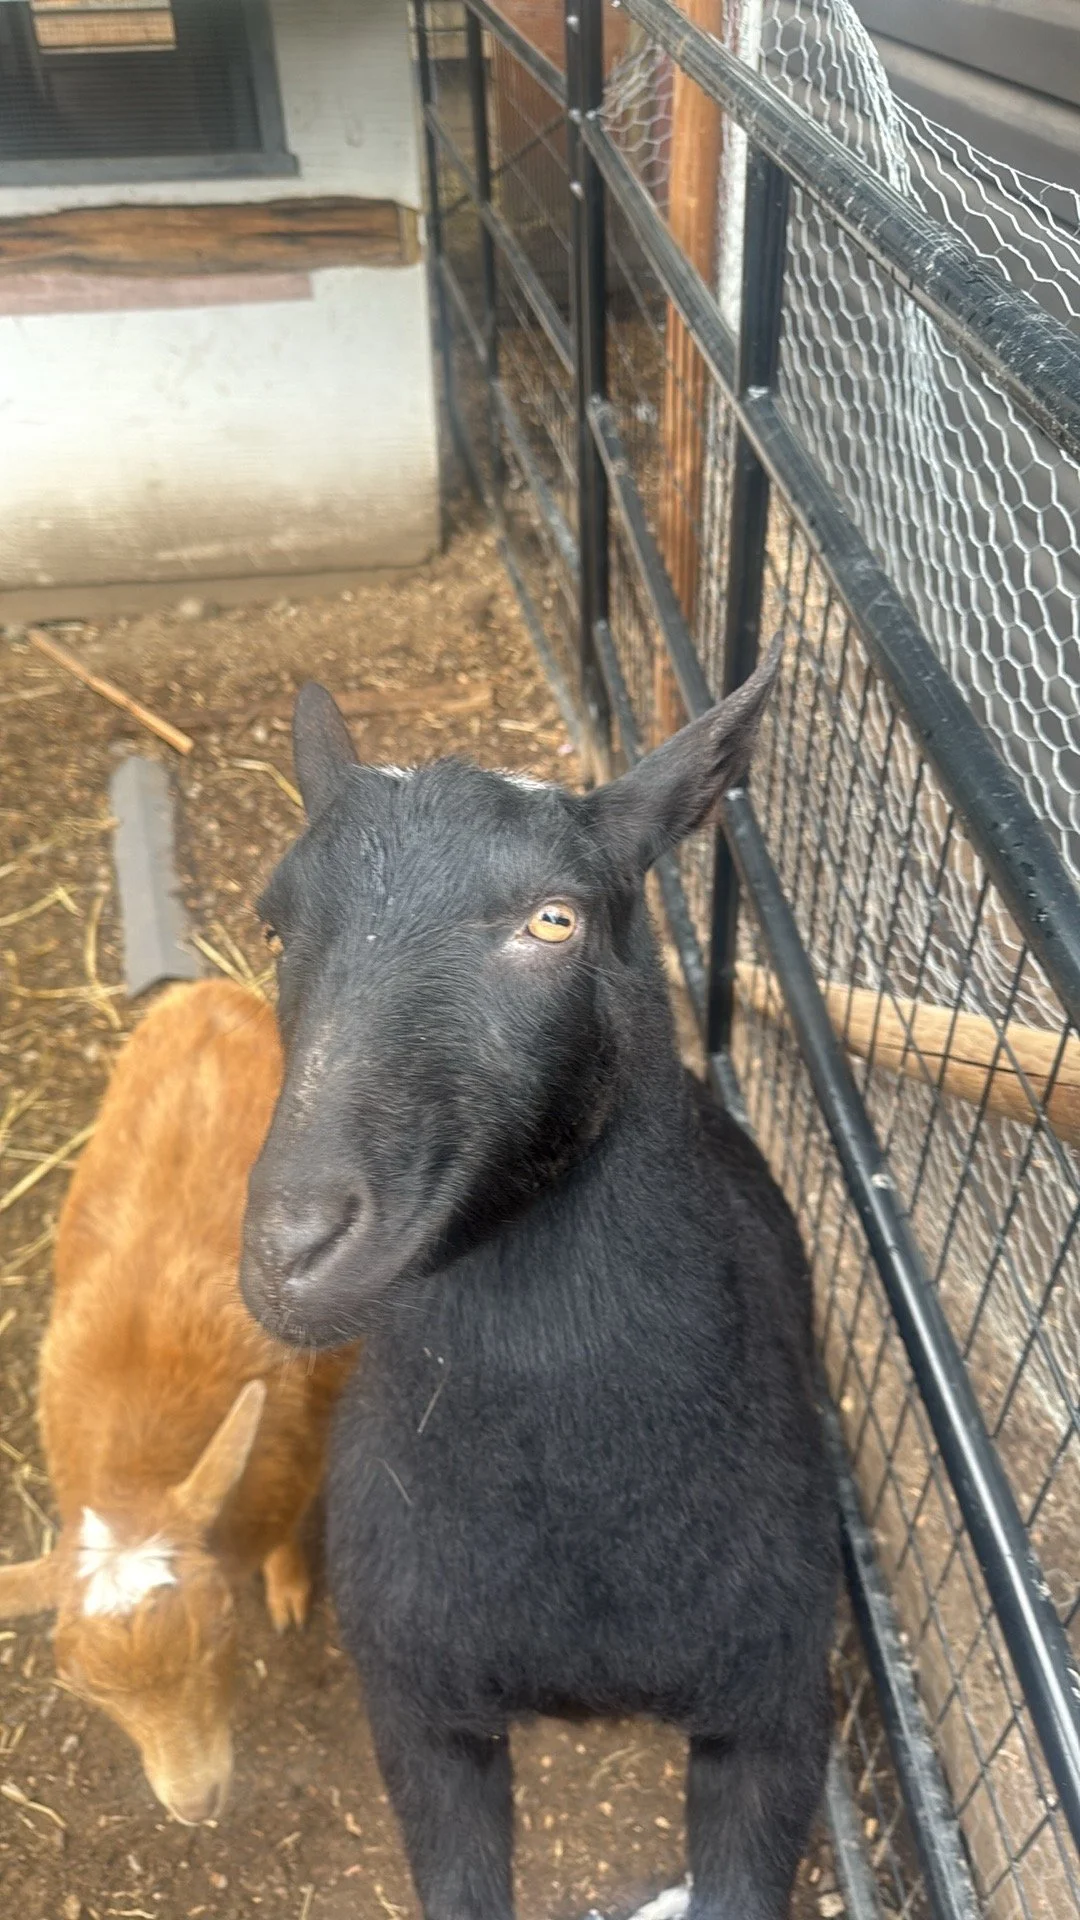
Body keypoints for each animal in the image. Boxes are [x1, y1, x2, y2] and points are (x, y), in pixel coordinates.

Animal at [0, 979, 354, 1824]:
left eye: (223, 1629)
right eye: (84, 1690)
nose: (196, 1803)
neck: (140, 1459)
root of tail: (212, 991)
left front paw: (289, 1590)